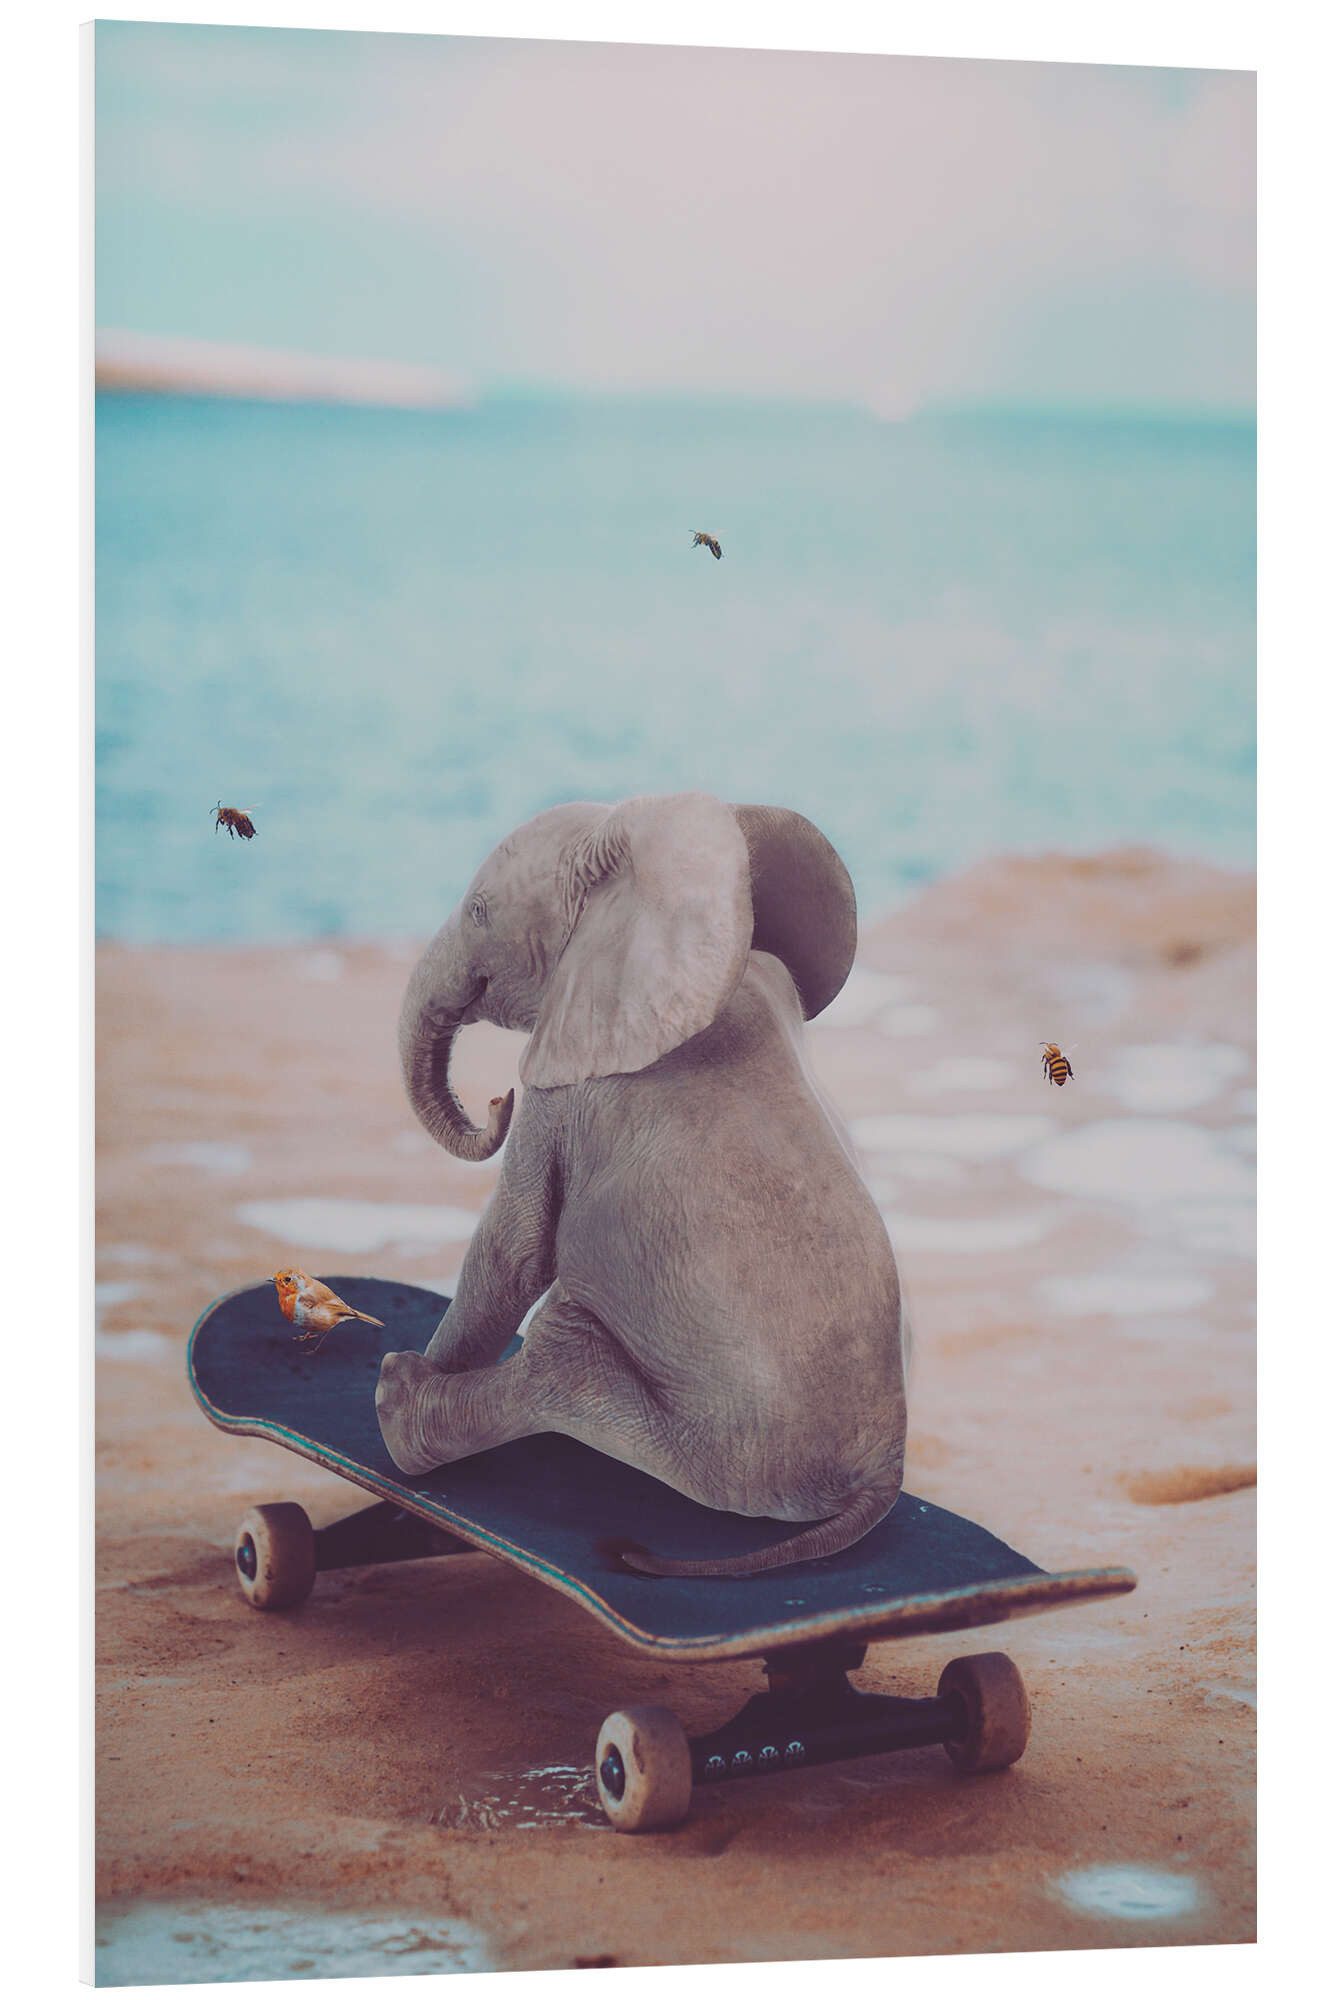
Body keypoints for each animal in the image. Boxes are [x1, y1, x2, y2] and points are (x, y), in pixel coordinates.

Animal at [375, 791, 908, 1576]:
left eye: (477, 910)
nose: (497, 1100)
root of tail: (882, 1476)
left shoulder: (569, 1086)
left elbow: (515, 1251)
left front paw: (412, 1377)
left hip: (716, 1450)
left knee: (561, 1355)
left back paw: (398, 1408)